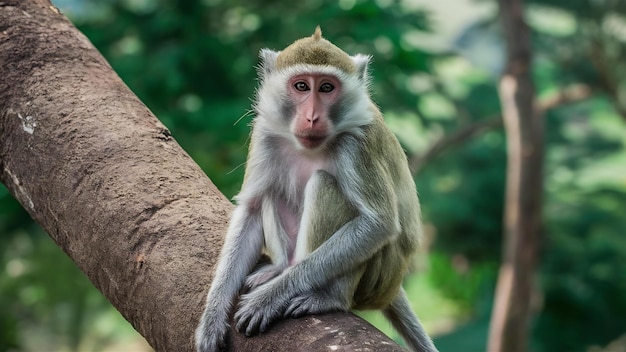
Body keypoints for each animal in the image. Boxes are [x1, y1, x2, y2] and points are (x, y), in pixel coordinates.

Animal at [194, 27, 434, 352]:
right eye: (301, 86)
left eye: (327, 88)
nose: (311, 116)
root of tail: (393, 286)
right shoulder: (264, 133)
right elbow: (252, 206)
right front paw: (213, 315)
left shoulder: (357, 144)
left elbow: (377, 224)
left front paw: (268, 299)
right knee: (272, 190)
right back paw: (280, 268)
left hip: (376, 280)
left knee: (324, 185)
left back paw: (327, 297)